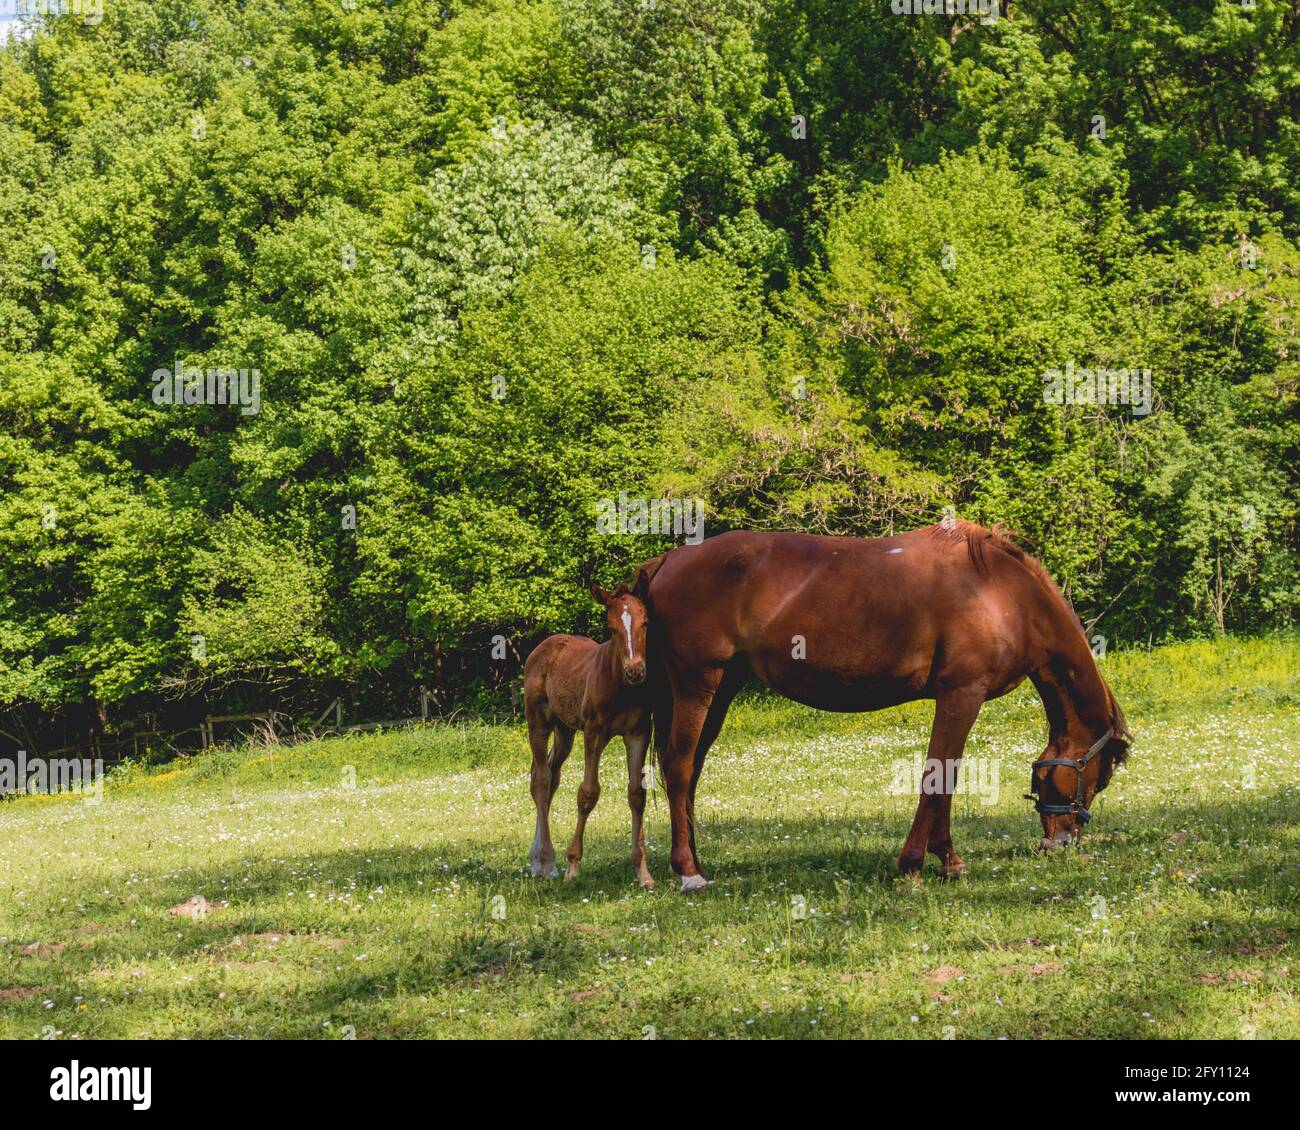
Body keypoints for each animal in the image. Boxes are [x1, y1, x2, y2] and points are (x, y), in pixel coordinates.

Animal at [523, 569, 657, 887]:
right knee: (541, 779)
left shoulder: (638, 732)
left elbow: (637, 794)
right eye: (611, 628)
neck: (620, 685)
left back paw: (537, 860)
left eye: (645, 621)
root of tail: (542, 648)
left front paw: (642, 871)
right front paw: (573, 865)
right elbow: (587, 793)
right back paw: (547, 861)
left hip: (565, 730)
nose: (635, 671)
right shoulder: (595, 732)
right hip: (538, 721)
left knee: (550, 775)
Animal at [637, 522, 1131, 891]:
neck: (1001, 591)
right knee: (679, 767)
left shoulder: (958, 699)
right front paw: (913, 865)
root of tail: (668, 561)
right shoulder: (961, 694)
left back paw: (696, 861)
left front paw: (948, 860)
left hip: (722, 689)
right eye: (1100, 777)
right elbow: (937, 776)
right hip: (698, 685)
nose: (1061, 843)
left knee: (692, 771)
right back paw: (688, 872)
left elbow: (947, 776)